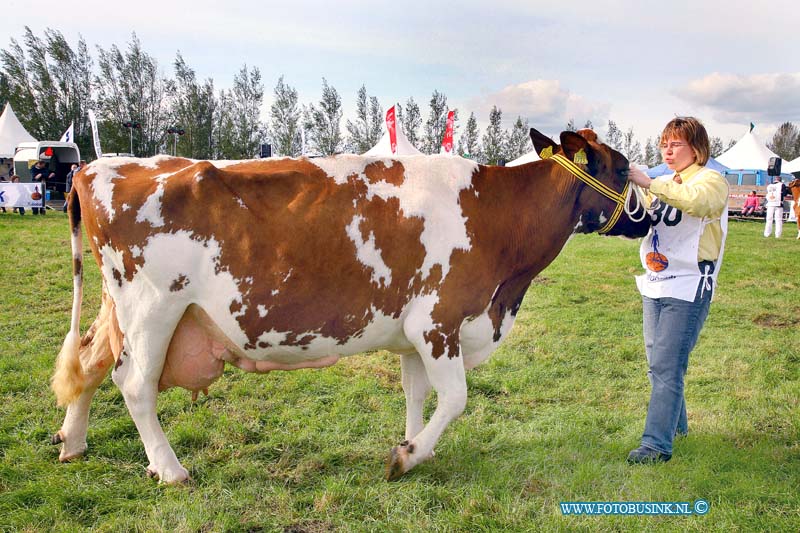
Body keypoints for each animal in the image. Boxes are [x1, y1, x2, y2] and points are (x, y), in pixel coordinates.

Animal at [50, 129, 648, 482]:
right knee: (135, 385)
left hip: (119, 307)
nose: (646, 219)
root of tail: (99, 167)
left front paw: (414, 444)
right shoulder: (437, 320)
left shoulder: (412, 334)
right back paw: (171, 469)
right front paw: (406, 457)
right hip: (153, 307)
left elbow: (416, 394)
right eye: (621, 170)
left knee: (91, 362)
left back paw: (72, 442)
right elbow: (455, 398)